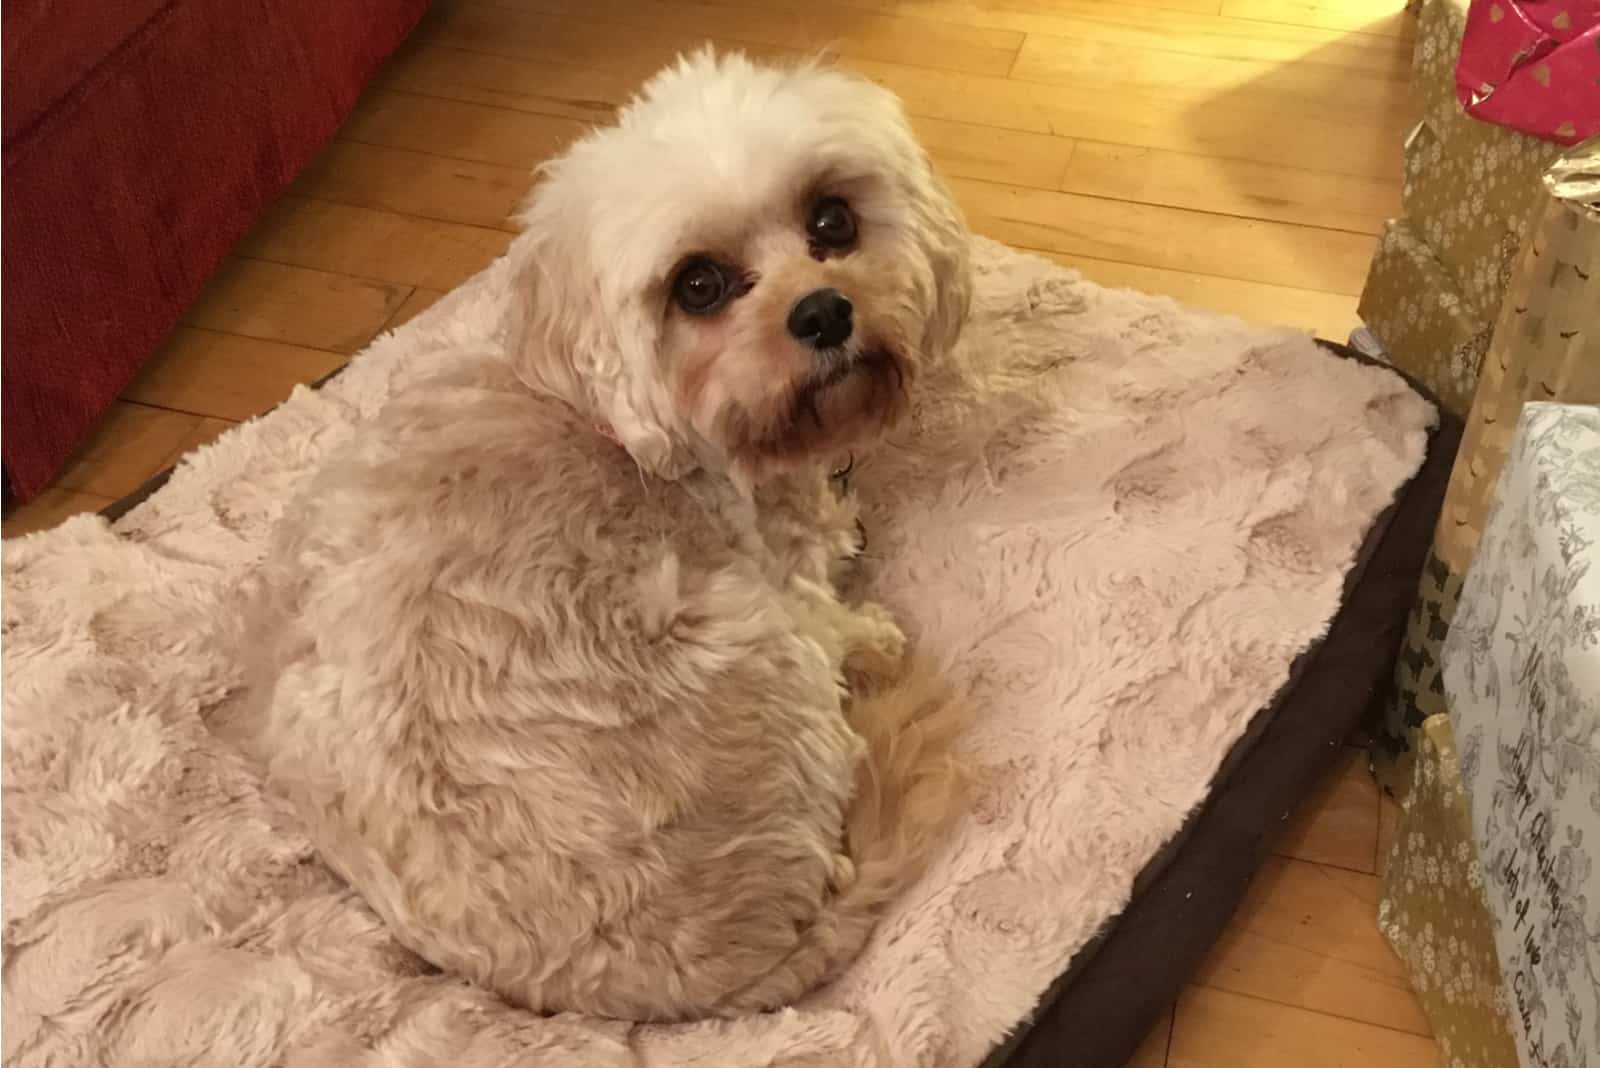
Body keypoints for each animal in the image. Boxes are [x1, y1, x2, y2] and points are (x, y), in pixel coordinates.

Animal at [248, 47, 966, 1016]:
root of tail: (709, 983)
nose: (824, 311)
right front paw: (870, 621)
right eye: (697, 285)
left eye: (833, 220)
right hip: (759, 651)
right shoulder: (780, 574)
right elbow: (834, 602)